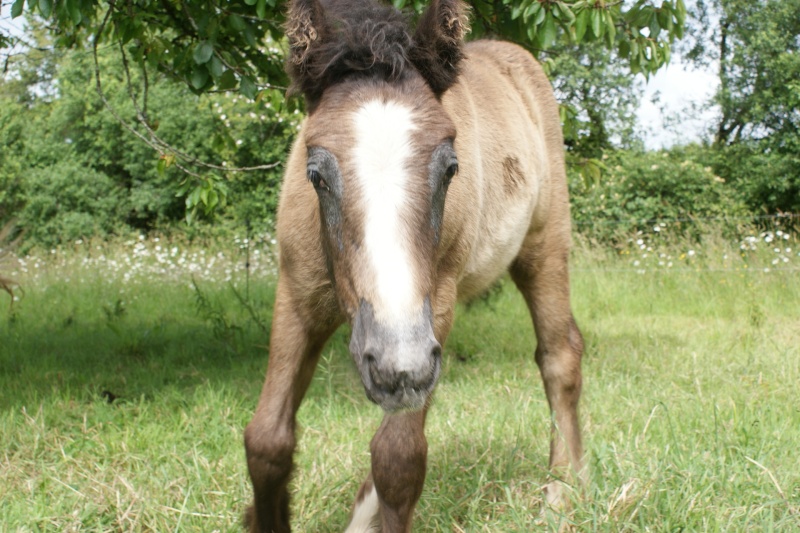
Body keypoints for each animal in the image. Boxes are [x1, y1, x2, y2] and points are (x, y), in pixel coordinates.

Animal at [241, 1, 584, 528]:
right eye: (315, 173)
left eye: (450, 168)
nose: (394, 365)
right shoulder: (297, 293)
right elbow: (266, 441)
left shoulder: (432, 307)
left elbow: (398, 458)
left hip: (542, 246)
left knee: (560, 354)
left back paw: (563, 491)